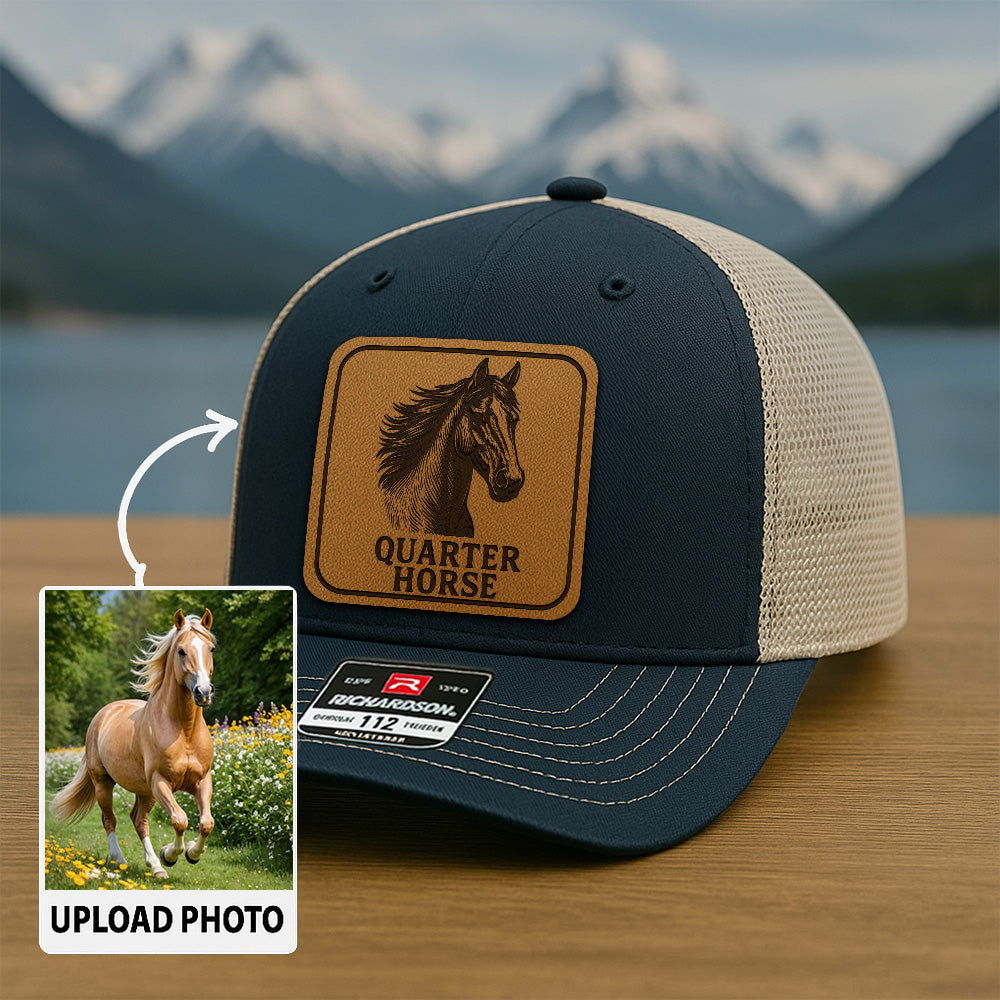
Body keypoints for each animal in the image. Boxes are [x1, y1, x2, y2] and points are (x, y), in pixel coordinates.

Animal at [51, 609, 217, 879]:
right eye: (181, 651)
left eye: (211, 648)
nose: (203, 692)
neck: (183, 731)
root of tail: (104, 713)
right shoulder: (161, 782)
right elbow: (180, 819)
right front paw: (171, 854)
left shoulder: (202, 780)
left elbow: (206, 823)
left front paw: (190, 853)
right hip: (104, 782)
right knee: (110, 819)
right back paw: (121, 860)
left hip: (144, 790)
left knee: (139, 820)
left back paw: (156, 866)